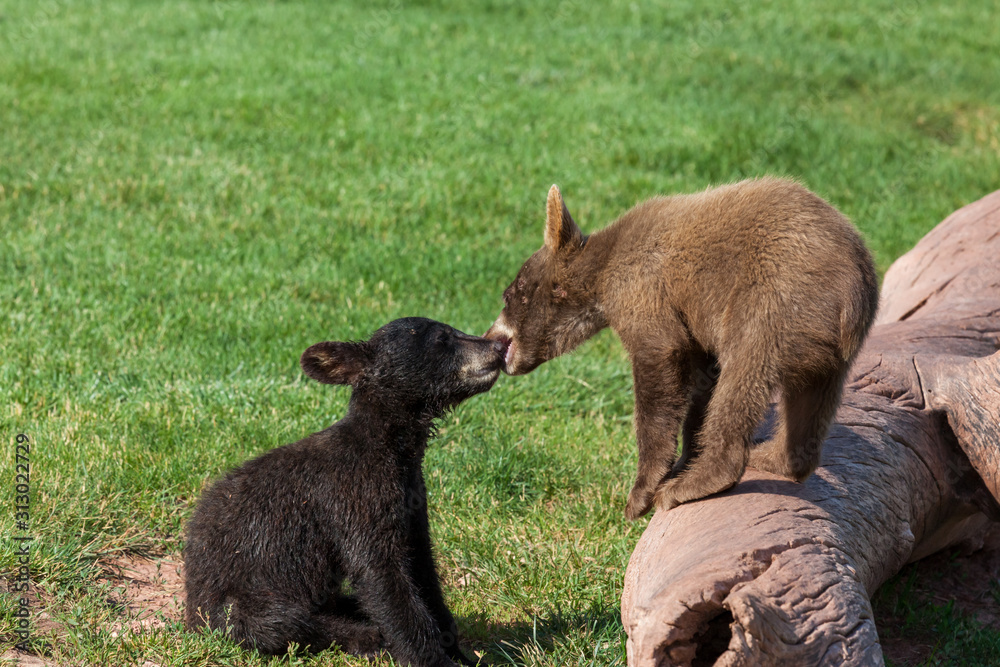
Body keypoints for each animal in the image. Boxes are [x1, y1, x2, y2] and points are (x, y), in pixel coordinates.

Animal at [184, 317, 505, 666]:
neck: (393, 451)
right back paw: (366, 636)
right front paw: (430, 656)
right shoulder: (353, 498)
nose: (500, 346)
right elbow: (381, 577)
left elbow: (423, 569)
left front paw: (458, 648)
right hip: (236, 599)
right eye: (443, 338)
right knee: (273, 622)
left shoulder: (412, 502)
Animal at [484, 178, 879, 519]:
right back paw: (772, 457)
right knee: (809, 404)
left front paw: (641, 494)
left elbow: (660, 368)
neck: (601, 279)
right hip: (828, 350)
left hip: (773, 303)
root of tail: (855, 289)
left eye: (512, 293)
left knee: (744, 377)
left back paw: (695, 483)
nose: (491, 334)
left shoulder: (646, 291)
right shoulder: (695, 323)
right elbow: (702, 382)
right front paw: (686, 456)